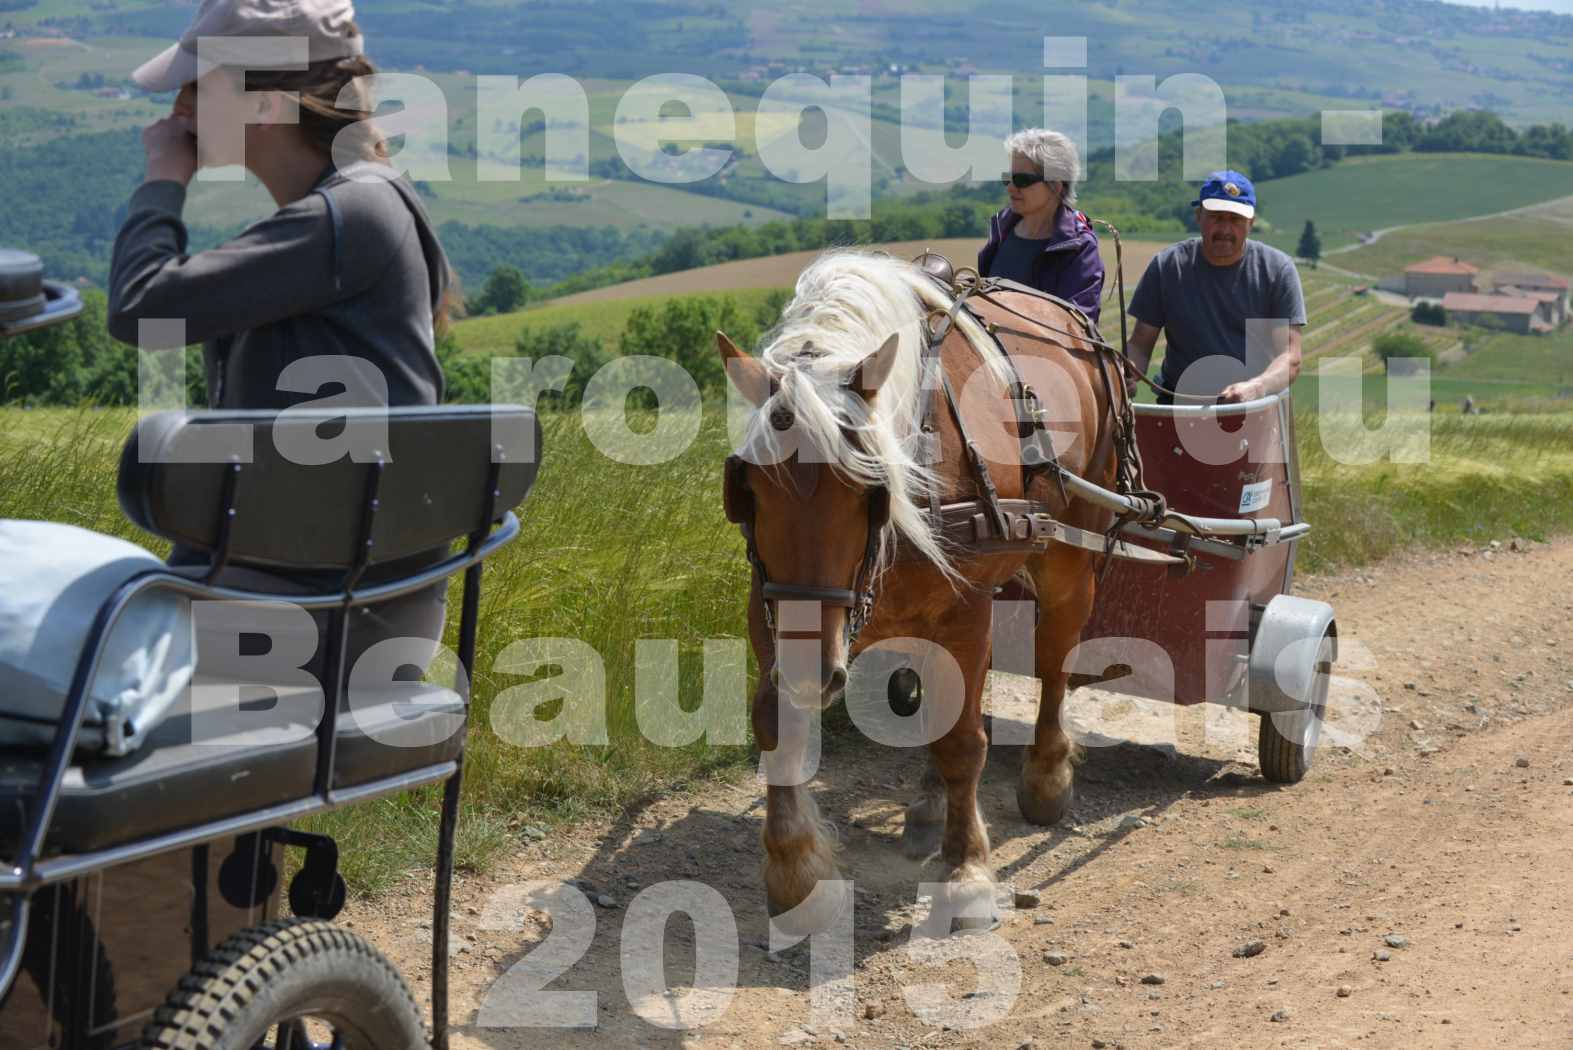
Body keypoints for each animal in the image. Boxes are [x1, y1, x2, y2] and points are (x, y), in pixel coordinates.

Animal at [720, 249, 1138, 930]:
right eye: (748, 490)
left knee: (1055, 658)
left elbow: (965, 741)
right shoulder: (770, 600)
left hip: (1071, 550)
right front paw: (795, 869)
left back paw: (1045, 777)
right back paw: (928, 803)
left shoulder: (966, 601)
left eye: (869, 491)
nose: (814, 672)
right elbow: (777, 723)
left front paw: (966, 873)